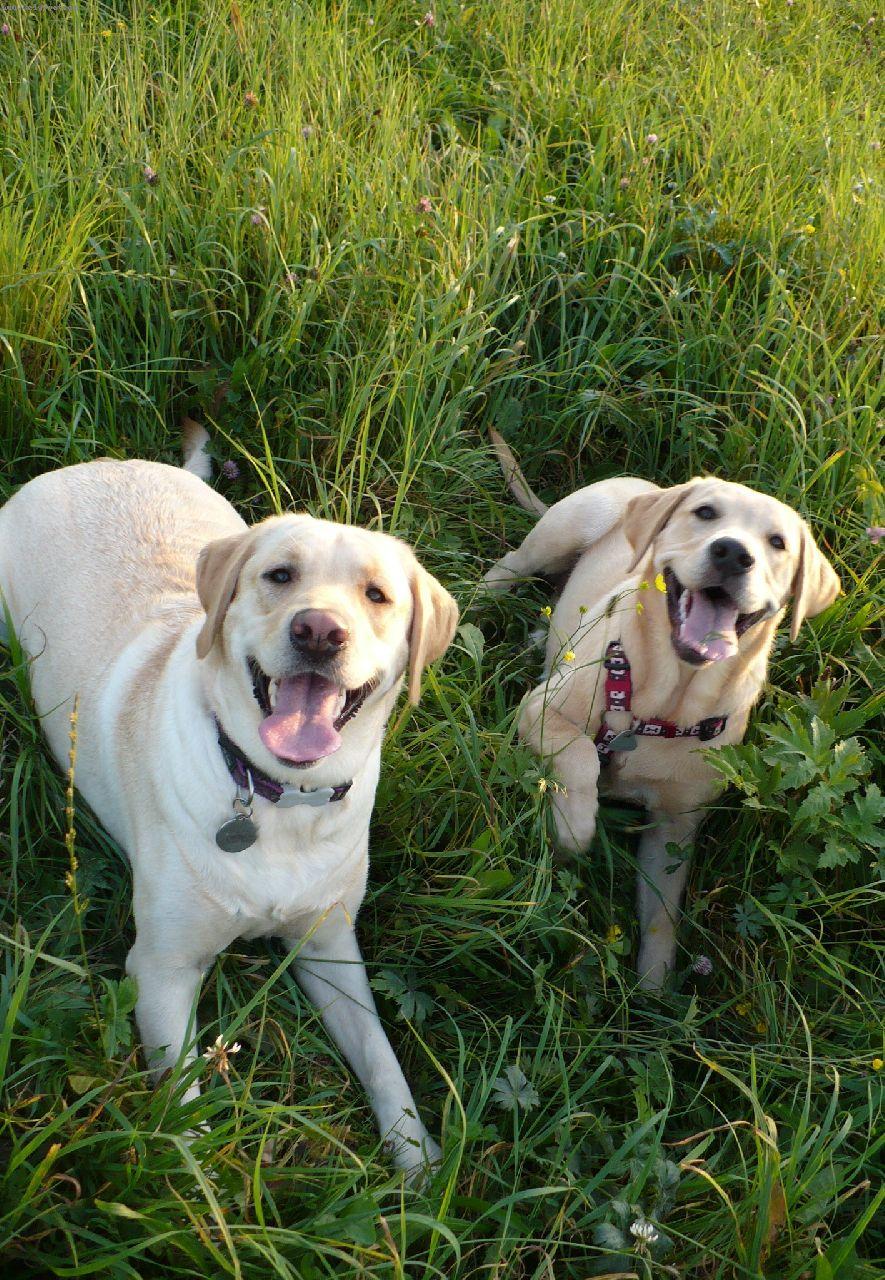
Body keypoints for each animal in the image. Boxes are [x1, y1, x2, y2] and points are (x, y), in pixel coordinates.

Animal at [0, 433, 457, 1174]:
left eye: (377, 595)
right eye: (280, 575)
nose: (318, 631)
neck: (280, 799)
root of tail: (95, 466)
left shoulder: (330, 948)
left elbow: (383, 1060)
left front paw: (420, 1170)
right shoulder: (160, 970)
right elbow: (184, 1123)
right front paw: (205, 1188)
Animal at [484, 432, 840, 988]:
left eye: (778, 543)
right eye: (706, 512)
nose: (733, 553)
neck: (668, 700)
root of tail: (649, 488)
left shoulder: (675, 826)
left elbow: (662, 916)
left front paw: (652, 993)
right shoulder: (540, 710)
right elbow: (581, 754)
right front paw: (575, 826)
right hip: (560, 530)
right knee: (508, 565)